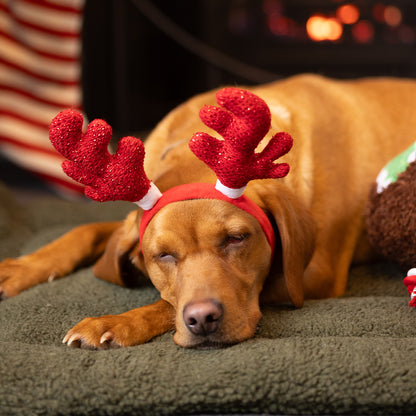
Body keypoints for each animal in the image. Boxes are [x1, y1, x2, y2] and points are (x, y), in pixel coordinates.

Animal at [0, 75, 416, 348]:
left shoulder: (314, 274)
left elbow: (165, 303)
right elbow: (83, 231)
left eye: (236, 239)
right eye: (162, 255)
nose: (202, 320)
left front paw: (116, 322)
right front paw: (23, 267)